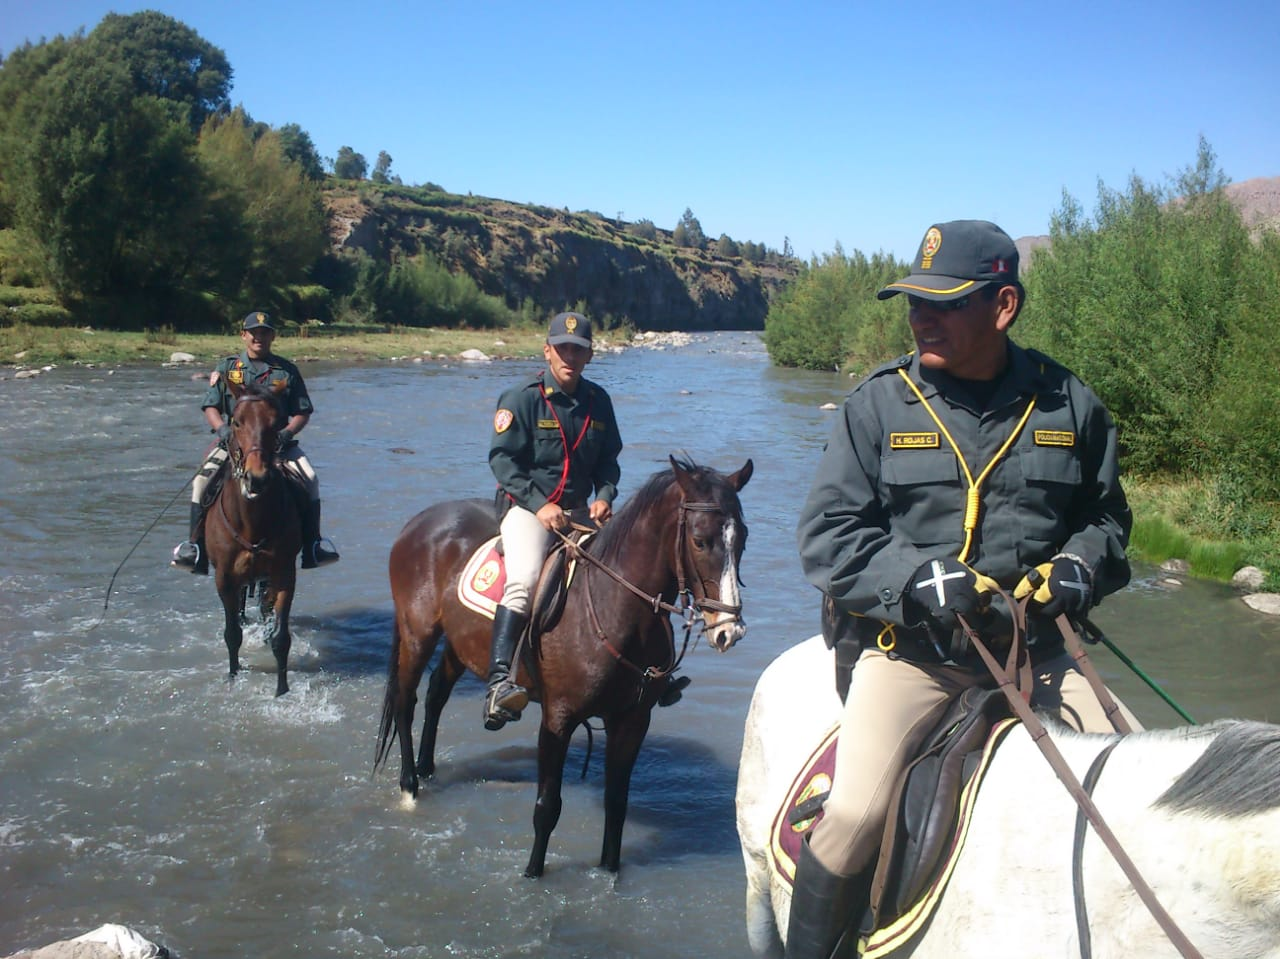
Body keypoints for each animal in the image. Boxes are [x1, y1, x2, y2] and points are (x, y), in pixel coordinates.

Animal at [204, 379, 302, 697]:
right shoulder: (224, 578)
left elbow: (281, 638)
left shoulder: (284, 573)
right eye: (236, 422)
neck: (251, 522)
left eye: (278, 423)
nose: (256, 478)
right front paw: (234, 675)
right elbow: (232, 633)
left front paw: (282, 690)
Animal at [375, 455, 753, 877]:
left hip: (461, 643)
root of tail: (421, 521)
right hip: (418, 634)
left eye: (743, 538)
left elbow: (616, 805)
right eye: (700, 540)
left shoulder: (632, 720)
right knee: (406, 702)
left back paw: (426, 768)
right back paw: (409, 786)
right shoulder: (558, 718)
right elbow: (547, 808)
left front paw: (608, 875)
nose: (730, 630)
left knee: (437, 693)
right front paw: (532, 875)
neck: (615, 604)